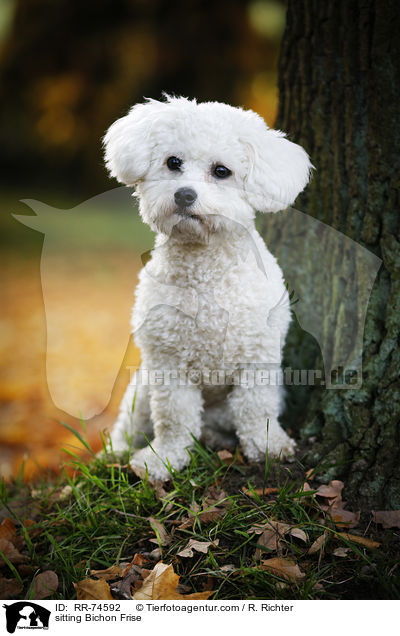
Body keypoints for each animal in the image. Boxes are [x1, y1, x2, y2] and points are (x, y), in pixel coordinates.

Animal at [103, 97, 312, 480]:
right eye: (173, 162)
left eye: (221, 171)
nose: (184, 194)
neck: (206, 274)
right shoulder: (168, 363)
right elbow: (174, 417)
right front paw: (164, 459)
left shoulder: (257, 358)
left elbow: (256, 408)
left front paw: (268, 447)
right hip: (141, 390)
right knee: (129, 425)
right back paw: (114, 453)